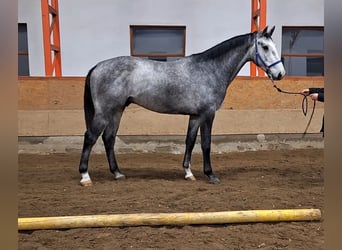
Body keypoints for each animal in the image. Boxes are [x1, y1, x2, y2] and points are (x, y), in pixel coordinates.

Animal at [79, 25, 284, 186]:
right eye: (265, 47)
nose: (280, 73)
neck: (210, 69)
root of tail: (97, 66)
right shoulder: (208, 114)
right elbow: (206, 144)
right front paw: (211, 175)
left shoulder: (195, 116)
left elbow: (190, 141)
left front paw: (188, 173)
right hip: (104, 112)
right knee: (90, 137)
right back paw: (85, 176)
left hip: (117, 111)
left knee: (109, 138)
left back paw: (117, 173)